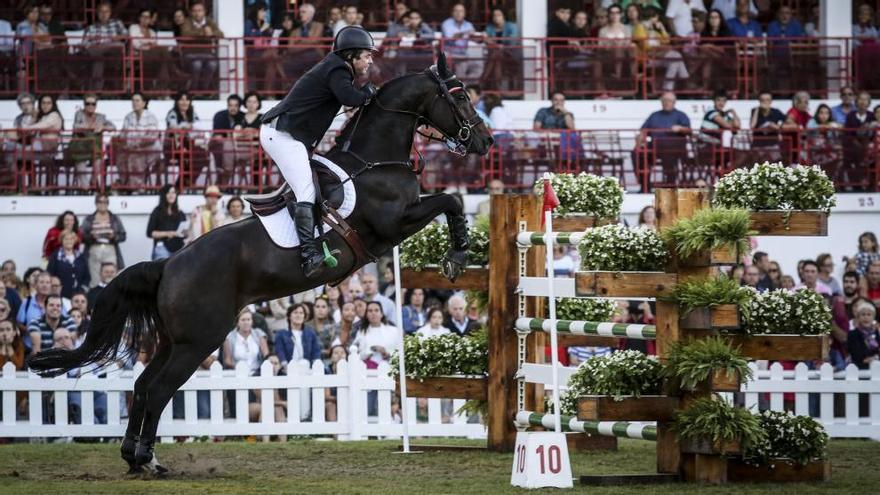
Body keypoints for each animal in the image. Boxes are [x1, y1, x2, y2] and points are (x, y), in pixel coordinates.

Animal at [29, 52, 496, 474]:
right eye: (459, 94)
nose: (486, 142)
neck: (373, 161)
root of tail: (168, 266)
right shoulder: (394, 223)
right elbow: (451, 200)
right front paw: (456, 255)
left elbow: (449, 200)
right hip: (200, 340)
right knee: (160, 389)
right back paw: (147, 459)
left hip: (174, 340)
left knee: (144, 385)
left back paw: (134, 456)